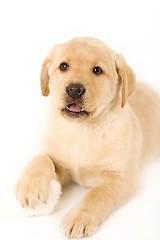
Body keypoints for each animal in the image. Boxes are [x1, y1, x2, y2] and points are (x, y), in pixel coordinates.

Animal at [15, 37, 160, 238]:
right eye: (63, 66)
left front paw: (79, 218)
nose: (74, 89)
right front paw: (30, 188)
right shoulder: (57, 158)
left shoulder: (121, 177)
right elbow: (41, 158)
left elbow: (96, 195)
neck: (81, 131)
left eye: (97, 70)